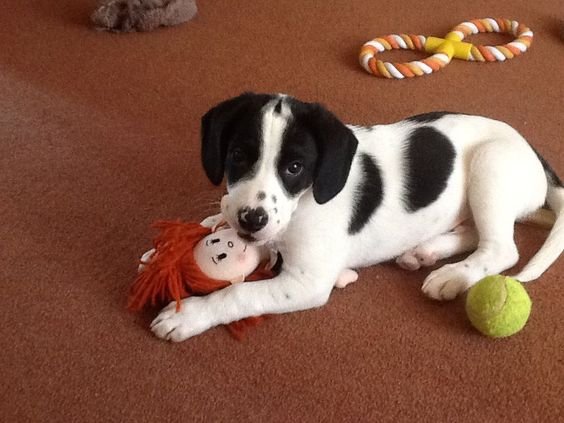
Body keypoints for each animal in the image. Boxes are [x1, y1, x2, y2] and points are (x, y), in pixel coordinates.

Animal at [151, 92, 564, 342]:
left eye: (295, 167)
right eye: (237, 156)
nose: (252, 220)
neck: (302, 203)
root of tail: (533, 152)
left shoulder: (307, 282)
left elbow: (239, 294)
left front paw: (189, 315)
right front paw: (199, 230)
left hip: (490, 165)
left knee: (501, 248)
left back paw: (453, 275)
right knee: (473, 232)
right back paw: (425, 251)